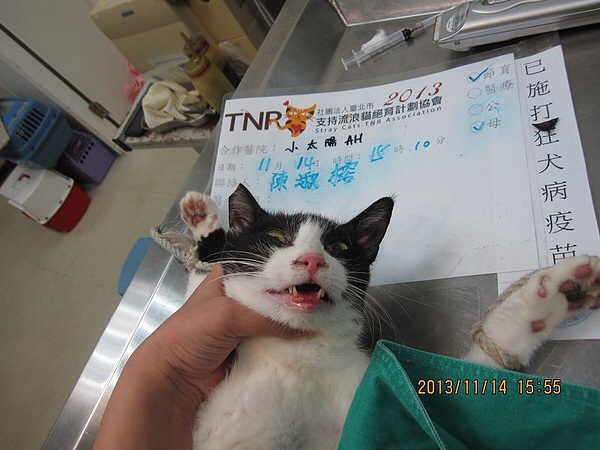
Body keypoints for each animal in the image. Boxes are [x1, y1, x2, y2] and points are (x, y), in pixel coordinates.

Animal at [179, 184, 600, 449]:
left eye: (339, 246)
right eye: (276, 237)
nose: (312, 259)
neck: (299, 356)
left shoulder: (371, 404)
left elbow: (471, 385)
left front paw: (548, 300)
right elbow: (199, 293)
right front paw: (206, 231)